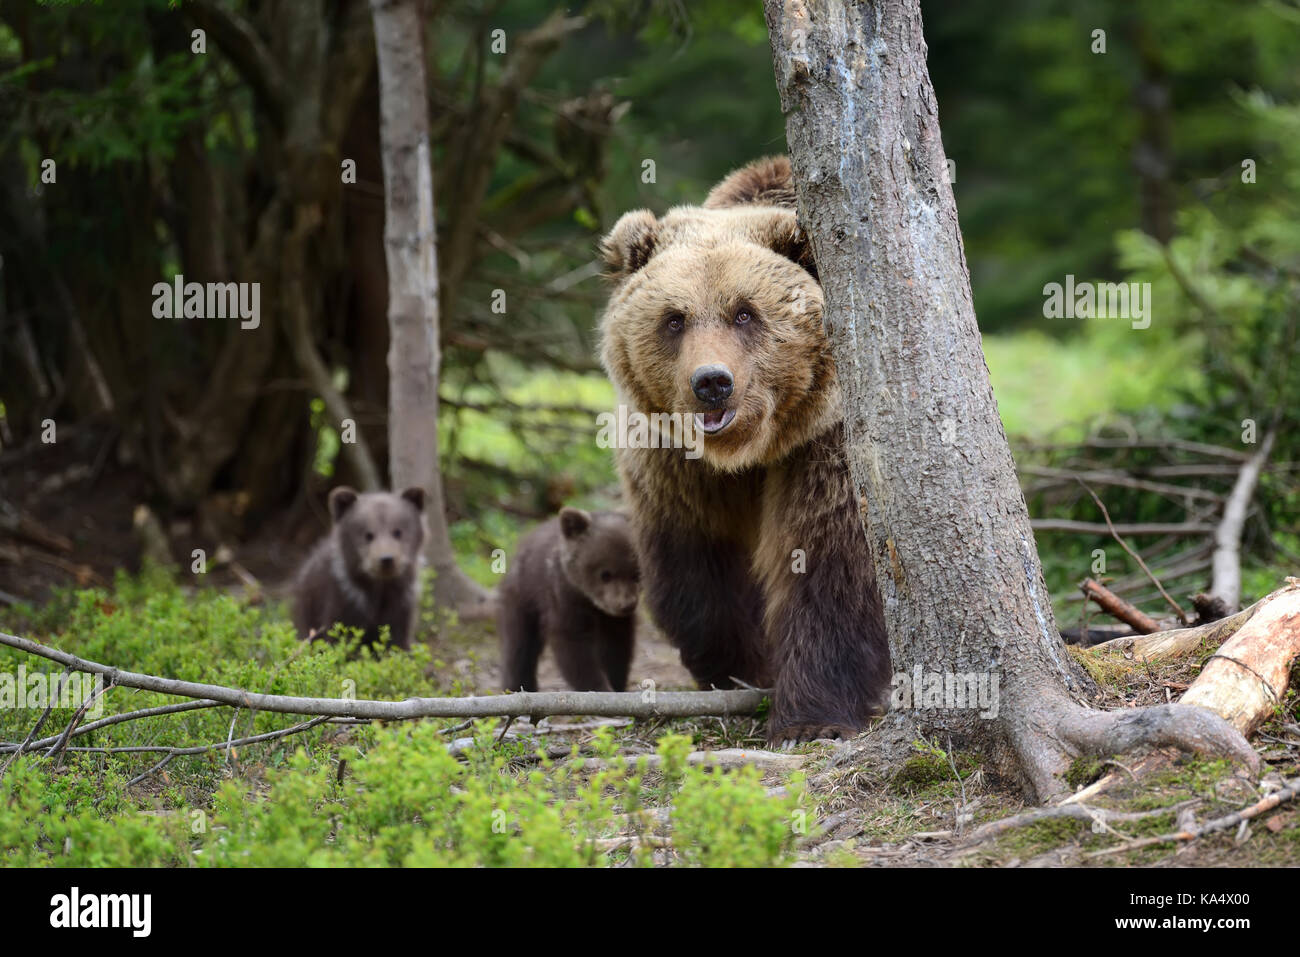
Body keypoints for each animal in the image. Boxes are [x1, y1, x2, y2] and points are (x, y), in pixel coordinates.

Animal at [292, 486, 426, 652]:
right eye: (368, 534)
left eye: (397, 532)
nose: (386, 559)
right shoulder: (343, 602)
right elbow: (339, 637)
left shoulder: (402, 603)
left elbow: (399, 639)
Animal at [497, 507, 640, 693]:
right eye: (605, 574)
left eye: (636, 574)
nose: (626, 605)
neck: (589, 600)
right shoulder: (563, 598)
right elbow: (573, 646)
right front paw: (599, 686)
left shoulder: (612, 619)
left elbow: (617, 648)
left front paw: (615, 683)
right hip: (523, 597)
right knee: (519, 645)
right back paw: (517, 686)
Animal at [596, 155, 891, 744]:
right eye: (674, 318)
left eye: (745, 313)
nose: (712, 382)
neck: (750, 450)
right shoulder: (674, 461)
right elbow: (699, 567)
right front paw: (740, 670)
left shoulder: (825, 447)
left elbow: (830, 565)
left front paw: (810, 718)